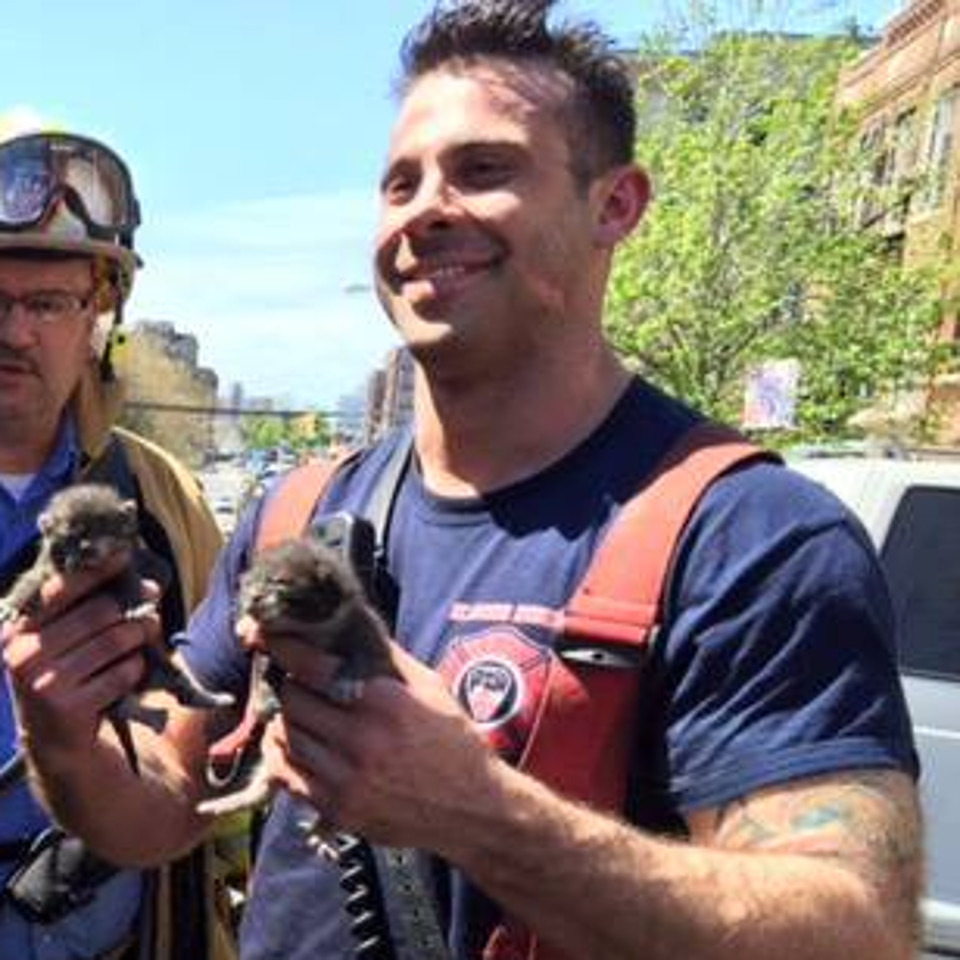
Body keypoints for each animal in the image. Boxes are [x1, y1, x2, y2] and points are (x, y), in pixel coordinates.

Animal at [0, 484, 232, 792]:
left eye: (103, 527)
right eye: (71, 536)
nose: (86, 547)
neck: (90, 575)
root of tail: (137, 686)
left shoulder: (121, 571)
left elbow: (129, 584)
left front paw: (138, 607)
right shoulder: (44, 573)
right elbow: (28, 582)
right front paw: (11, 605)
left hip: (153, 662)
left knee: (178, 690)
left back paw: (209, 700)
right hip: (116, 691)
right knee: (122, 708)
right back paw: (156, 718)